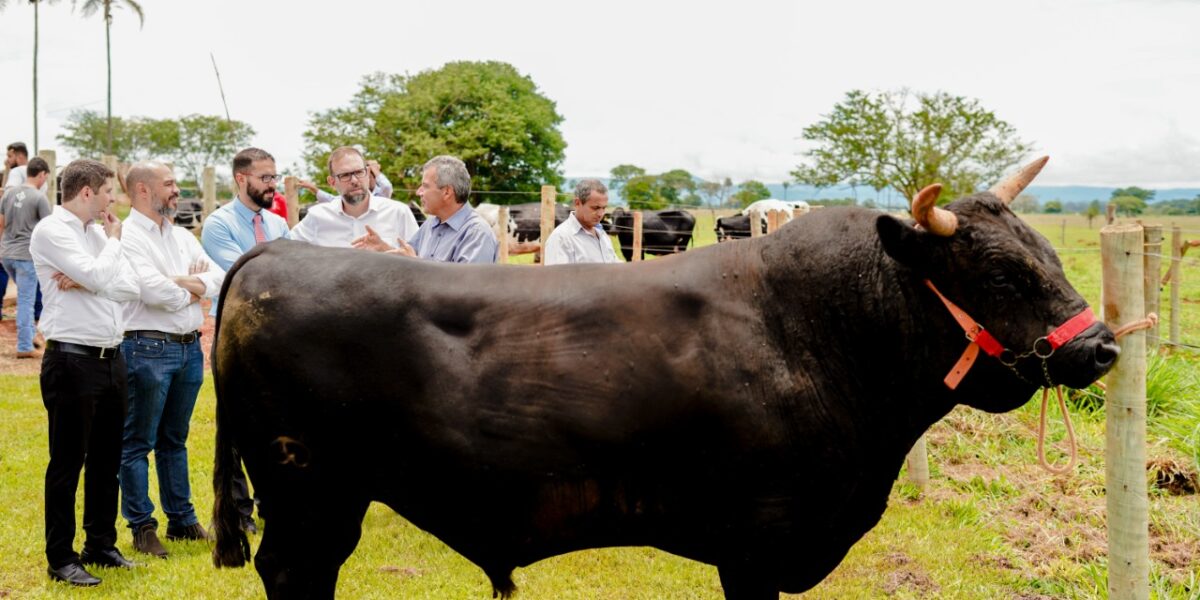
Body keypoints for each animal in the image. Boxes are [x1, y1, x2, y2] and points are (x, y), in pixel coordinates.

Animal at [213, 159, 1113, 600]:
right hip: (309, 492)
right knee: (295, 574)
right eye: (998, 274)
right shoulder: (756, 544)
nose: (1102, 346)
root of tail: (277, 254)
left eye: (1049, 253)